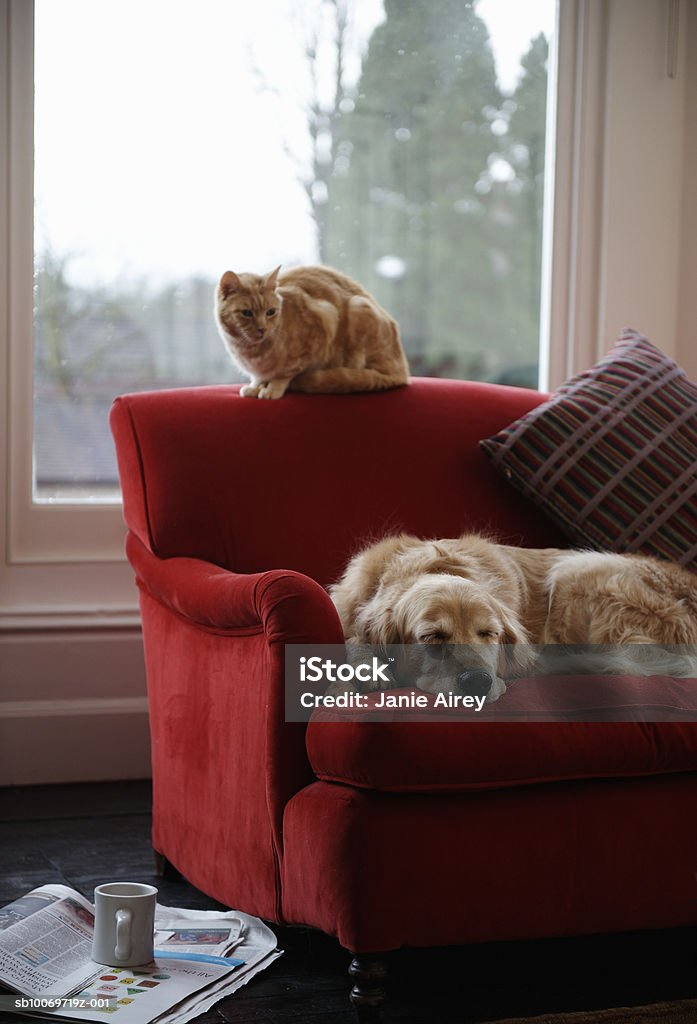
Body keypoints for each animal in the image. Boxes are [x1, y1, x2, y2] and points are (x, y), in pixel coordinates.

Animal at [213, 266, 407, 397]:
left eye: (270, 312)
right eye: (247, 313)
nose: (262, 329)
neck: (250, 352)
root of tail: (403, 373)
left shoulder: (325, 320)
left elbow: (284, 375)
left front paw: (272, 389)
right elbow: (259, 378)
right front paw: (256, 386)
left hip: (358, 308)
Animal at [329, 532, 695, 700]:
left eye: (489, 633)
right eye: (431, 637)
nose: (477, 682)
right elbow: (352, 633)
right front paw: (365, 666)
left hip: (577, 571)